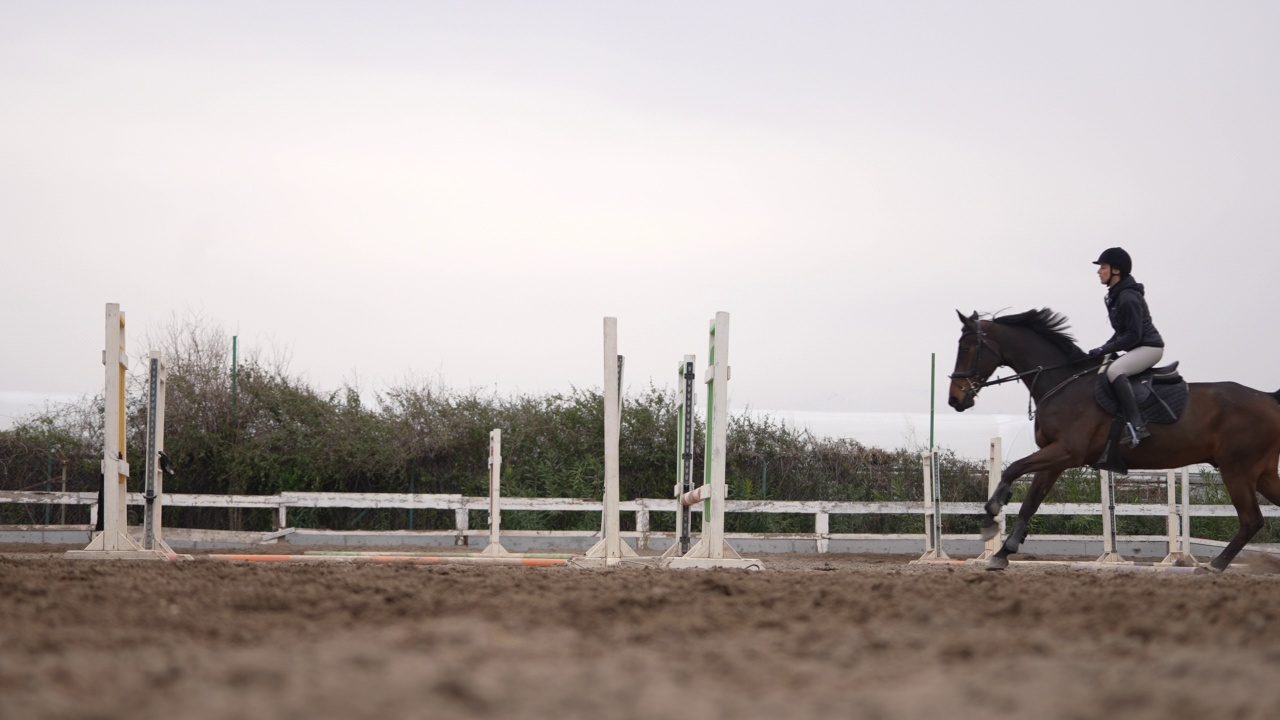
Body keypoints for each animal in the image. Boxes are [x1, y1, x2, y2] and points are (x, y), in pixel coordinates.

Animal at [947, 304, 1274, 568]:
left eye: (966, 348)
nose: (954, 399)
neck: (1062, 383)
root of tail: (1269, 398)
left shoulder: (1066, 451)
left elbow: (1013, 469)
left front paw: (990, 517)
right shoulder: (1055, 459)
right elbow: (1030, 501)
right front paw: (1002, 553)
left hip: (1238, 470)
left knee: (1251, 519)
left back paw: (1214, 566)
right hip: (1261, 473)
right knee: (1259, 515)